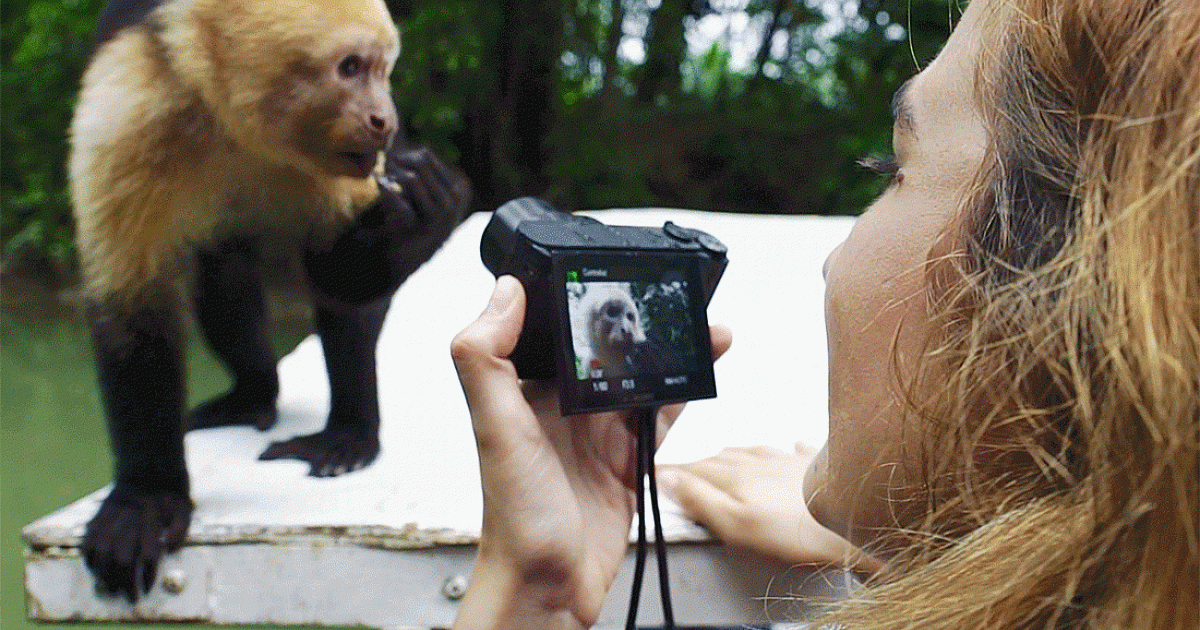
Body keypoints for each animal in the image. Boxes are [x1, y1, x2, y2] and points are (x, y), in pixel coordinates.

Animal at [65, 0, 468, 602]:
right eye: (350, 67)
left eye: (383, 69)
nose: (386, 119)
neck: (232, 127)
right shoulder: (129, 110)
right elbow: (132, 309)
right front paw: (147, 501)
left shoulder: (348, 160)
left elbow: (343, 278)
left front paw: (424, 215)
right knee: (221, 268)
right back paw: (251, 395)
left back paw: (346, 430)